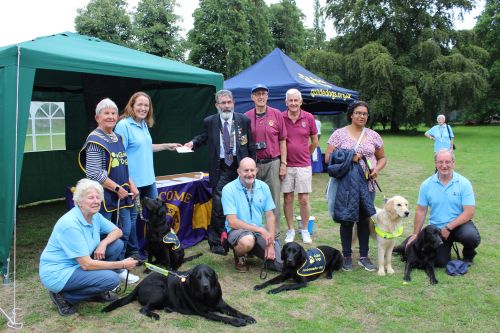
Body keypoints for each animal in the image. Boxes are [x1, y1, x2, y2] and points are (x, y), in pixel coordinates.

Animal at [102, 264, 258, 326]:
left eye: (209, 275)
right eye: (198, 277)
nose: (205, 286)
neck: (207, 297)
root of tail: (139, 285)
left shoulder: (221, 304)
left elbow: (234, 311)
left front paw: (247, 317)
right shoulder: (205, 313)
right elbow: (223, 318)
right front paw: (238, 322)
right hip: (161, 290)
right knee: (143, 309)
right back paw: (155, 315)